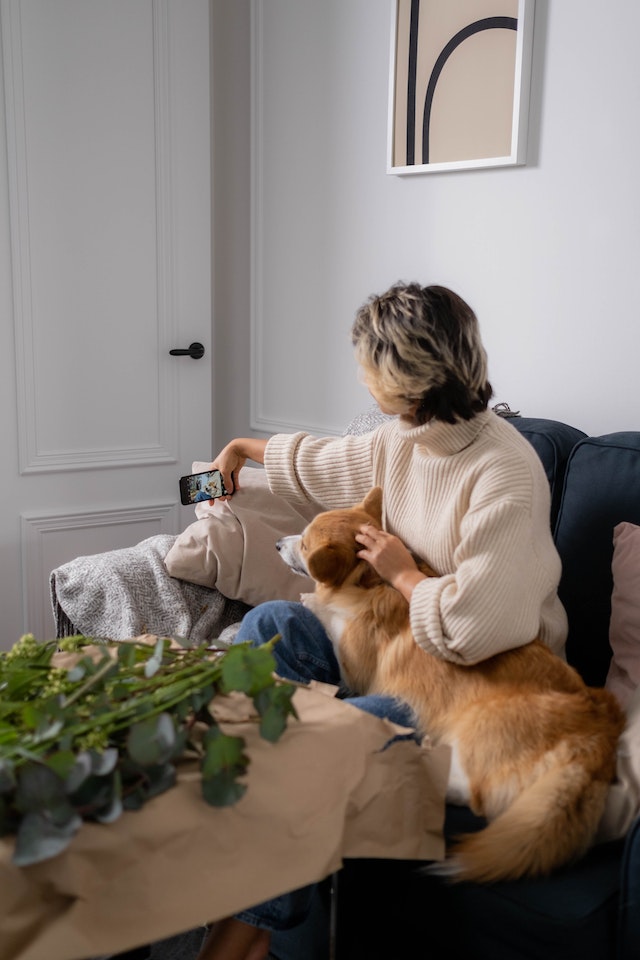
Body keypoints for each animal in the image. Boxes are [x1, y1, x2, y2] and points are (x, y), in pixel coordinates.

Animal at [276, 492, 624, 880]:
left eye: (304, 545)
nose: (277, 544)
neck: (369, 581)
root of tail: (598, 737)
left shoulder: (353, 667)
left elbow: (326, 616)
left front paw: (313, 601)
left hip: (476, 730)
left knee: (476, 795)